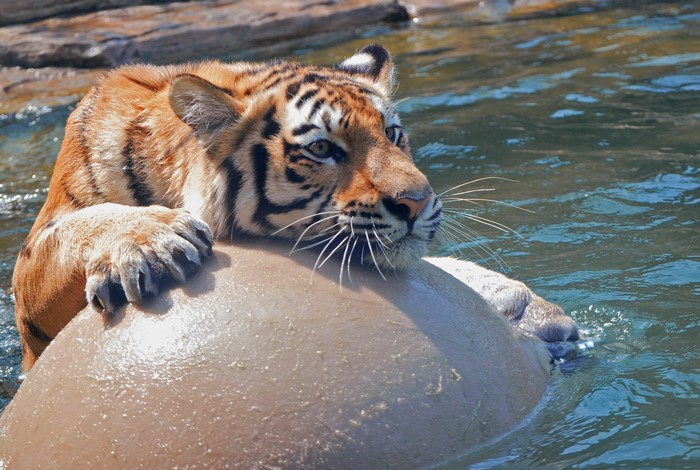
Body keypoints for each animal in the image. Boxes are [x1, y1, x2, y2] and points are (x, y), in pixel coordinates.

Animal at [12, 45, 444, 371]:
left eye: (392, 133)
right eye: (321, 148)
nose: (417, 201)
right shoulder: (33, 259)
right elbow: (77, 228)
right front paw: (157, 240)